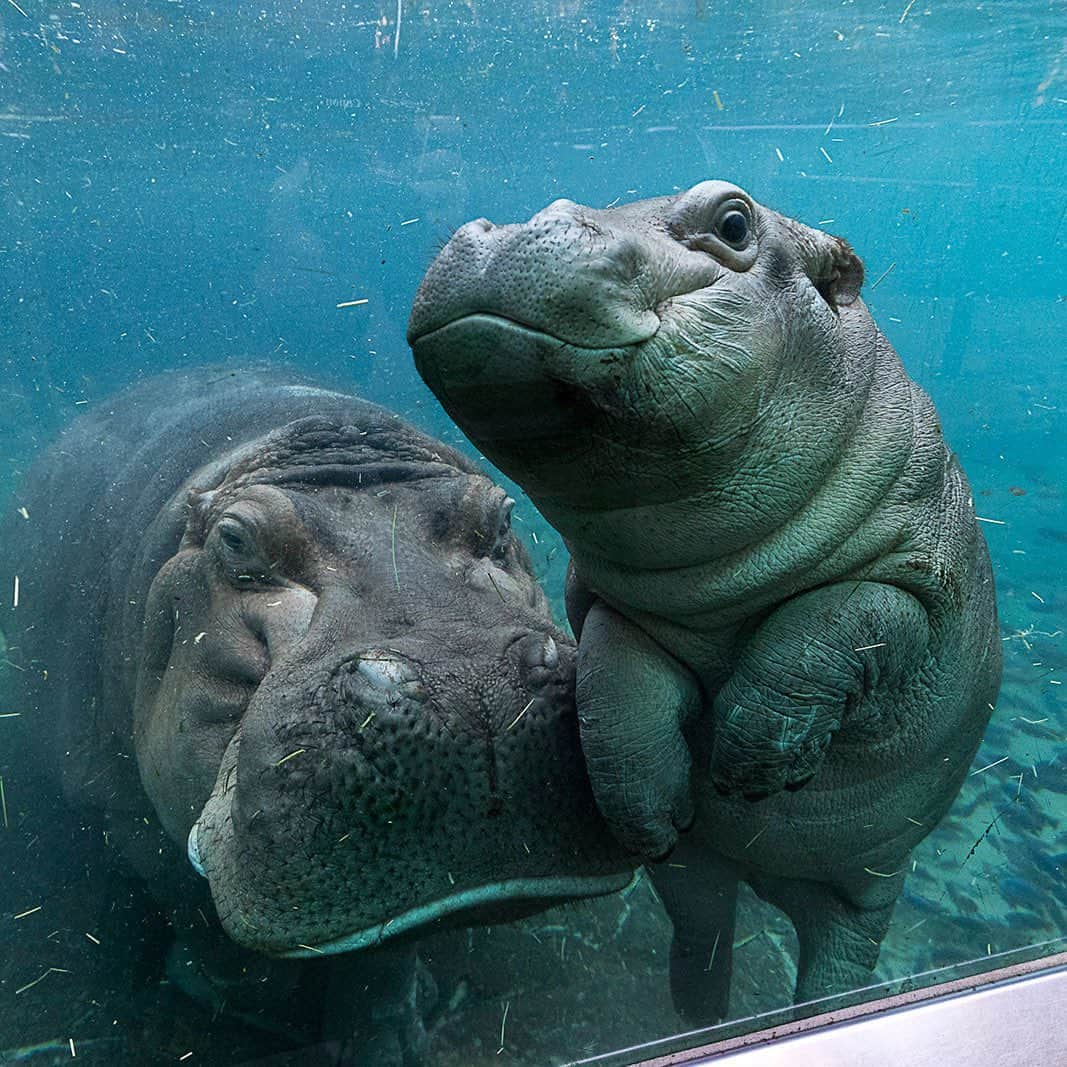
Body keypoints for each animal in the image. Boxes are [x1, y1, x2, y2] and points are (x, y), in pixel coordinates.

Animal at [0, 364, 631, 1058]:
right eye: (234, 541)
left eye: (501, 515)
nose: (471, 690)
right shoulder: (120, 803)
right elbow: (195, 915)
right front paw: (239, 997)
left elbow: (381, 955)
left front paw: (386, 1039)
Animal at [405, 181, 998, 1015]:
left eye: (733, 221)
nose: (508, 230)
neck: (716, 582)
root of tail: (766, 876)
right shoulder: (611, 605)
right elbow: (613, 682)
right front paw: (649, 814)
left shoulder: (919, 586)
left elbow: (829, 621)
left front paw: (751, 765)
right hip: (701, 875)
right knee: (703, 927)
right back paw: (701, 1018)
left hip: (863, 892)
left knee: (836, 960)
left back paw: (822, 1014)